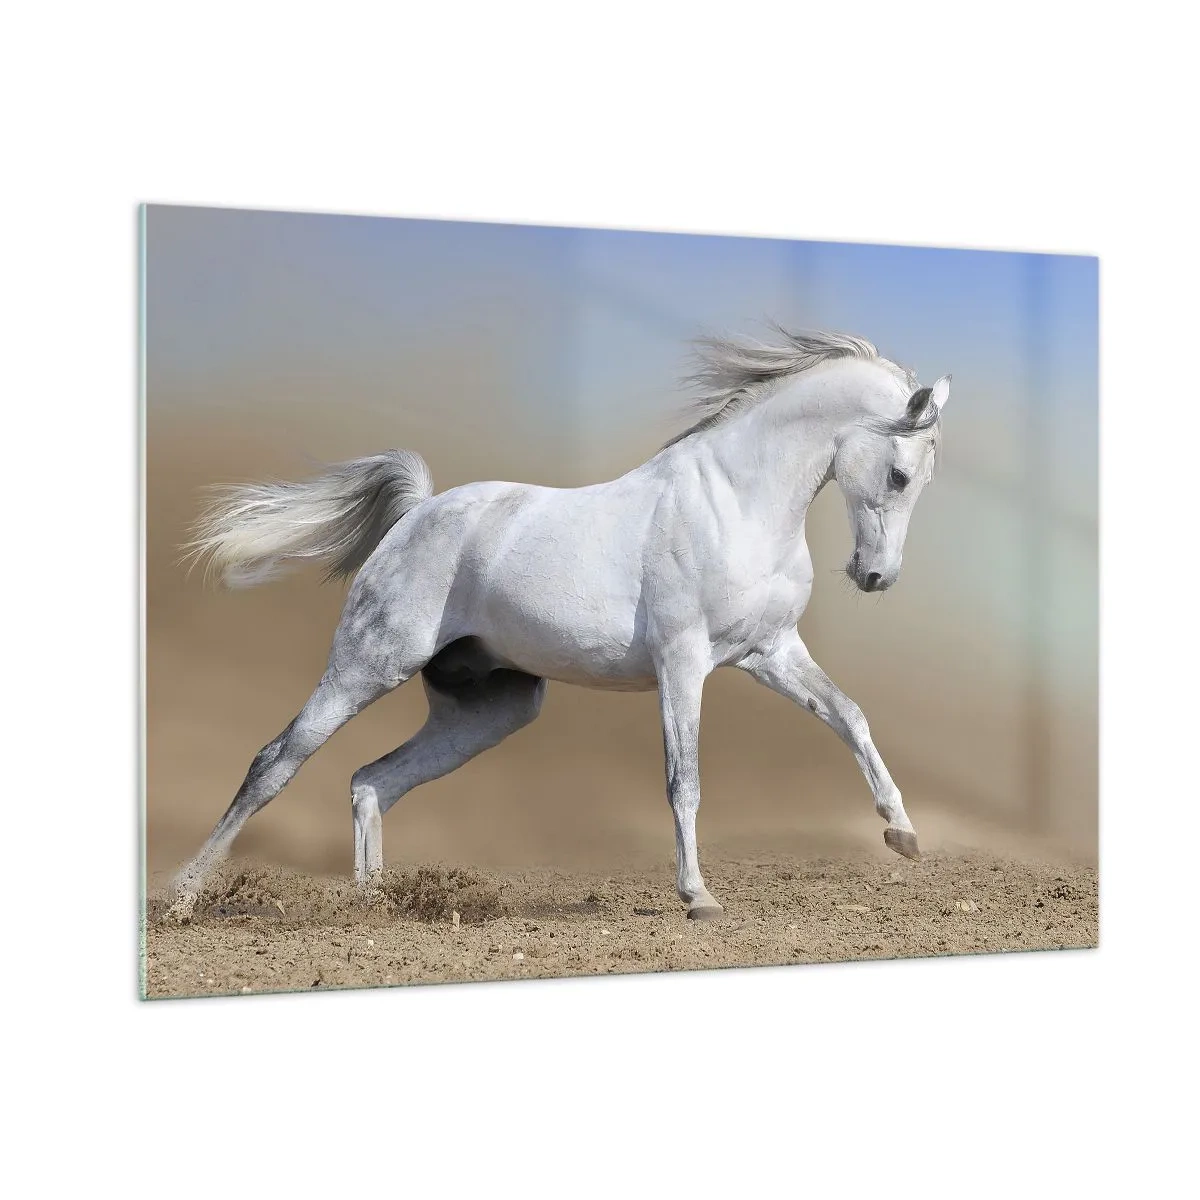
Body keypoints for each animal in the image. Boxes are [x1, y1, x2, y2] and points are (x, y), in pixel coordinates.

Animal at [167, 326, 951, 922]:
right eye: (900, 475)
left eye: (922, 479)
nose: (876, 576)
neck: (736, 502)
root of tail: (418, 513)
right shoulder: (683, 662)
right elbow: (685, 779)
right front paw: (698, 897)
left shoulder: (770, 651)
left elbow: (848, 714)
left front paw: (903, 833)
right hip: (368, 664)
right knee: (275, 762)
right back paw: (182, 897)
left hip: (491, 709)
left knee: (372, 781)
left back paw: (375, 904)